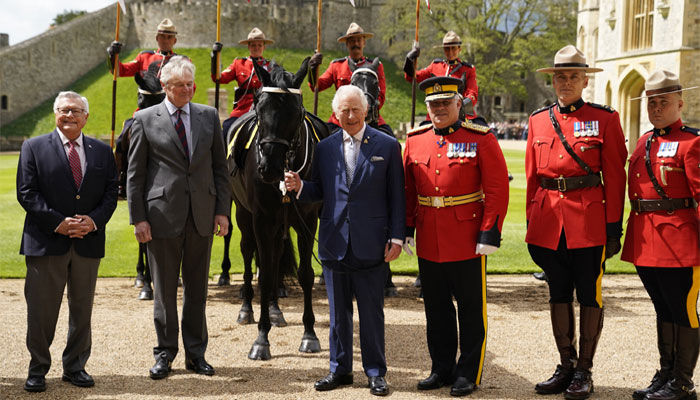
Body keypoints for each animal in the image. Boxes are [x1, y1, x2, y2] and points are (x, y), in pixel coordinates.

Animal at [228, 57, 330, 360]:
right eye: (260, 109)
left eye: (295, 113)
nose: (270, 168)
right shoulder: (261, 220)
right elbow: (262, 276)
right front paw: (261, 339)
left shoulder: (307, 221)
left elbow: (305, 275)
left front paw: (309, 334)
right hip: (244, 215)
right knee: (250, 255)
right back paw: (247, 310)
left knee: (272, 260)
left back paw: (274, 310)